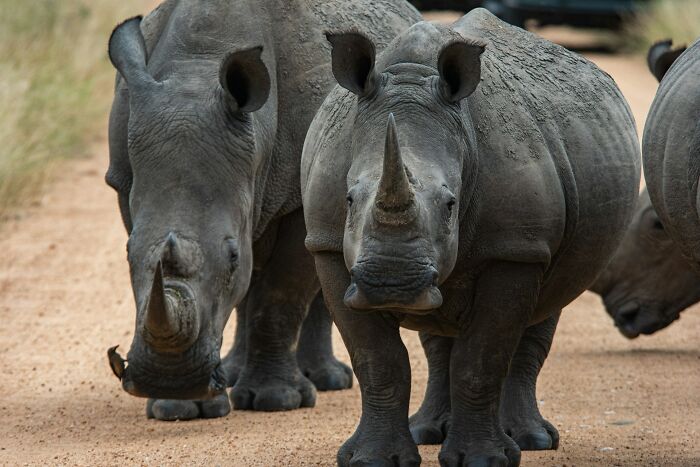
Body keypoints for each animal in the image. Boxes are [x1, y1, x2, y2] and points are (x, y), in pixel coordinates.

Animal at [106, 0, 420, 420]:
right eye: (126, 255)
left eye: (232, 257)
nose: (170, 379)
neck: (195, 70)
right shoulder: (125, 182)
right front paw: (178, 408)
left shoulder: (298, 199)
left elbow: (280, 293)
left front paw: (276, 401)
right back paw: (234, 373)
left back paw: (325, 381)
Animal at [302, 8, 639, 466]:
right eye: (349, 199)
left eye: (450, 205)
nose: (391, 283)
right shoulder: (328, 245)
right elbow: (377, 360)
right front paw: (371, 459)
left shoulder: (515, 249)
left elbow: (481, 359)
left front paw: (484, 459)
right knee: (438, 325)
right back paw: (428, 432)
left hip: (544, 224)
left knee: (545, 304)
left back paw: (530, 440)